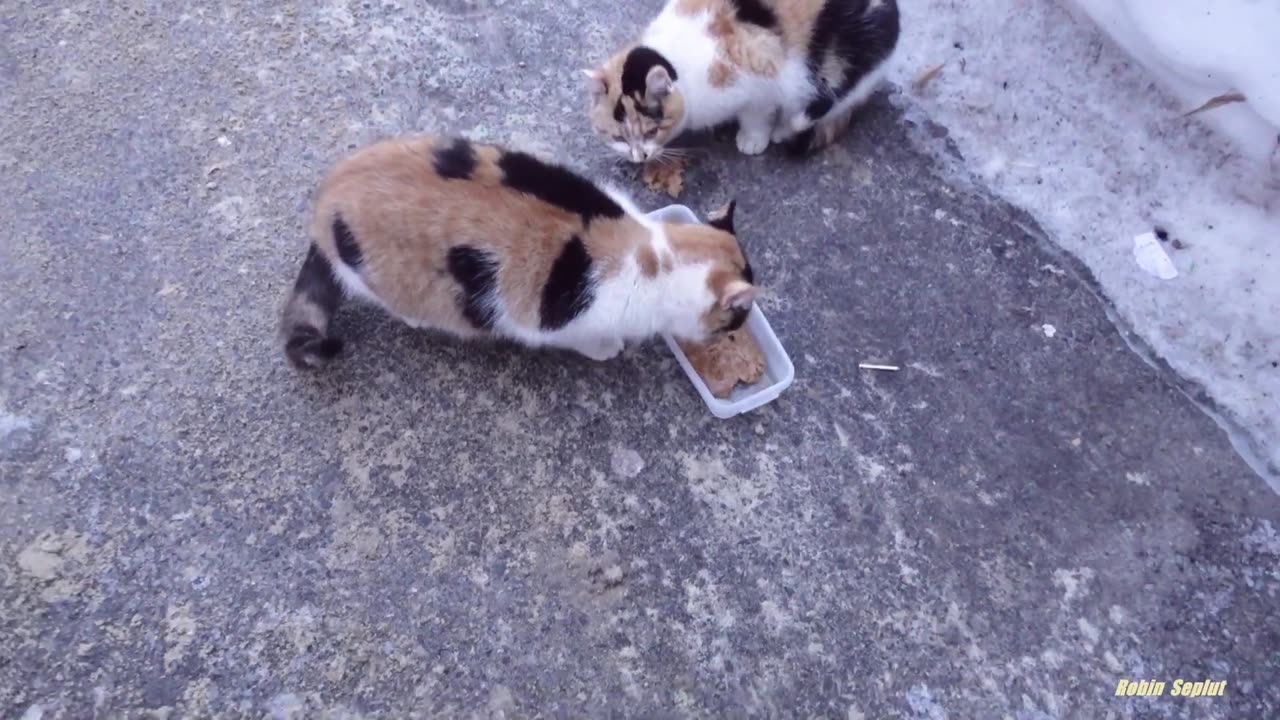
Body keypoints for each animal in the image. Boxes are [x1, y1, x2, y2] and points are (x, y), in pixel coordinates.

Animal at [277, 135, 757, 368]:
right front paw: (607, 348)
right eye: (737, 319)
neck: (656, 256)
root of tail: (325, 199)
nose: (735, 333)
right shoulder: (562, 322)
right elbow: (582, 338)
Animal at [586, 0, 901, 161]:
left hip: (841, 63)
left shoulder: (761, 77)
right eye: (618, 137)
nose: (638, 157)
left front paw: (752, 139)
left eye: (652, 132)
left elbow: (756, 113)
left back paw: (782, 130)